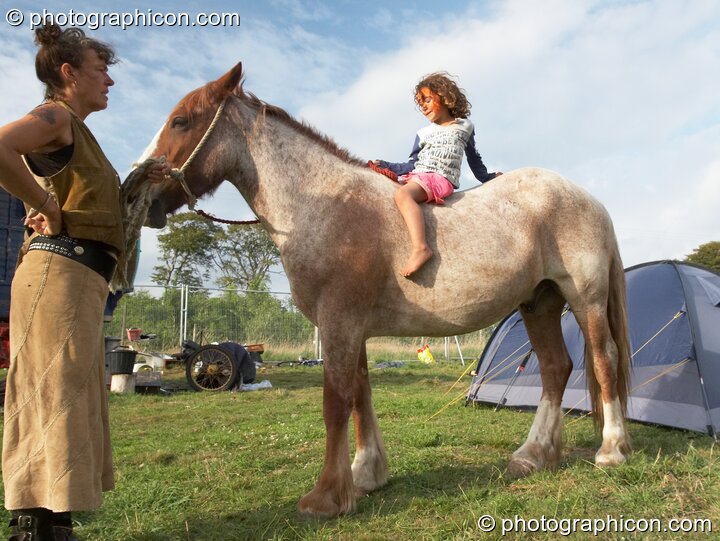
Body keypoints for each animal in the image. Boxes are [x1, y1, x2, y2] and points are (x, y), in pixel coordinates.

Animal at [138, 63, 632, 520]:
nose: (142, 194)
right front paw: (364, 475)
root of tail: (590, 200)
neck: (325, 205)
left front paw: (325, 497)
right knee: (555, 368)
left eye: (181, 121)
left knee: (603, 360)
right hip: (539, 303)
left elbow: (335, 404)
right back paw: (533, 456)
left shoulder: (339, 325)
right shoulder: (350, 329)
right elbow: (360, 396)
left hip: (585, 300)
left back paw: (611, 451)